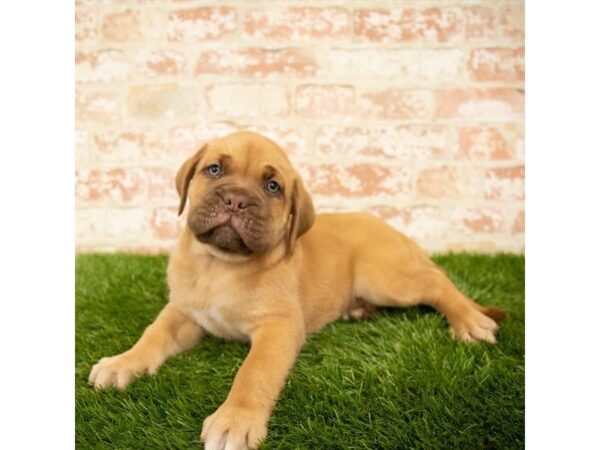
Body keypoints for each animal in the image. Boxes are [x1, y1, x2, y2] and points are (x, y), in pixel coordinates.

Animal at [89, 131, 506, 450]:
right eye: (214, 169)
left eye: (272, 186)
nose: (236, 200)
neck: (219, 266)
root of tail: (394, 230)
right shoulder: (184, 312)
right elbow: (152, 336)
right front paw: (122, 363)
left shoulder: (280, 326)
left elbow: (254, 372)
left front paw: (236, 419)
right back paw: (359, 310)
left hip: (385, 278)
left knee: (435, 283)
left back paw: (469, 321)